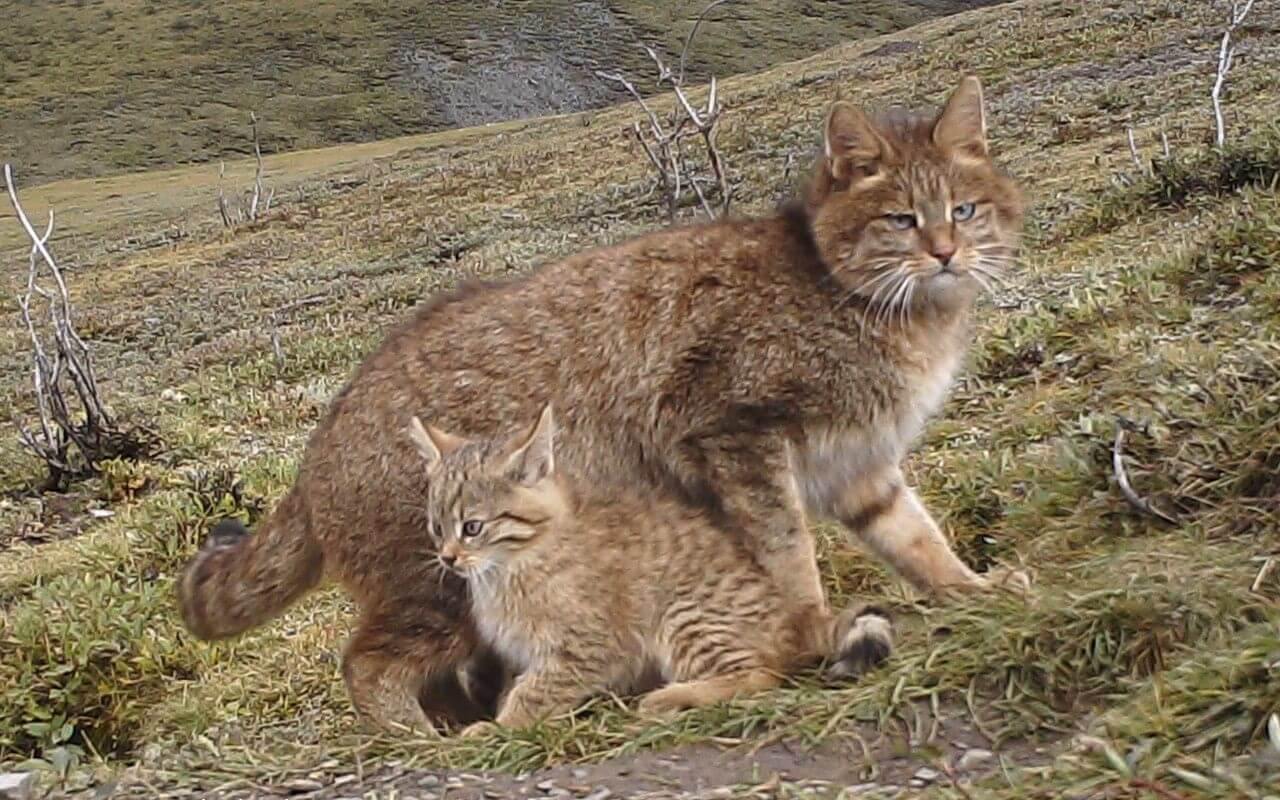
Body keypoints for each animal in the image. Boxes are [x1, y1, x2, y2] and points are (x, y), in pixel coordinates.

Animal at [409, 404, 890, 732]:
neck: (513, 564)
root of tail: (795, 617)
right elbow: (517, 684)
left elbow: (535, 691)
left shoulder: (588, 646)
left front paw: (499, 729)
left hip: (684, 615)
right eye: (436, 527)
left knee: (762, 674)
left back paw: (672, 697)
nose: (448, 557)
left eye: (472, 527)